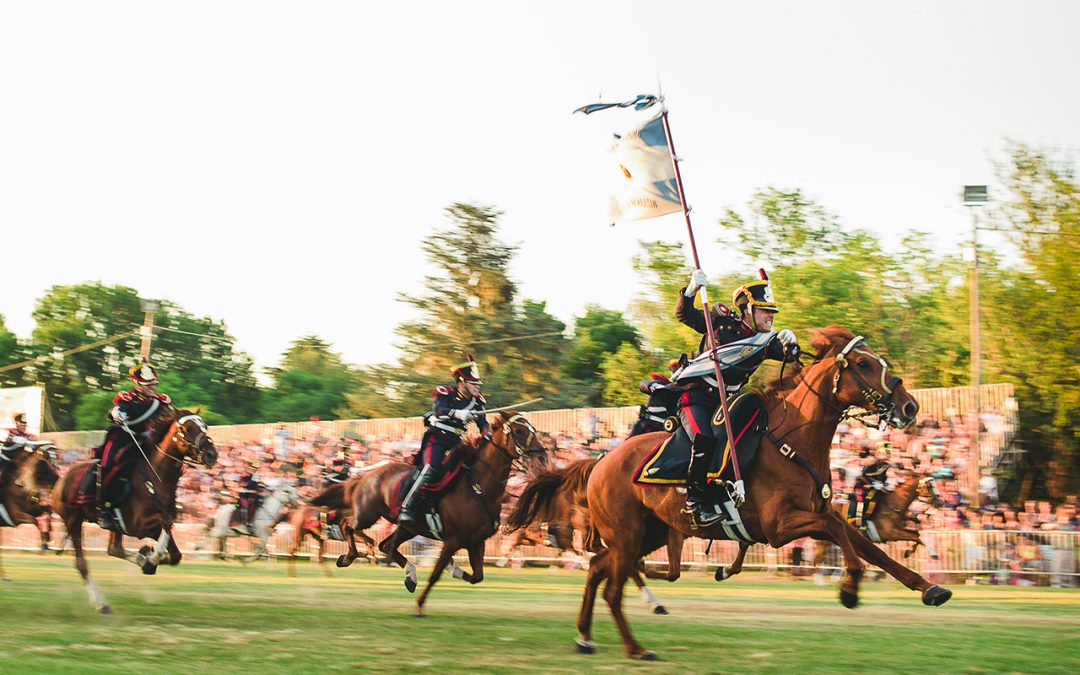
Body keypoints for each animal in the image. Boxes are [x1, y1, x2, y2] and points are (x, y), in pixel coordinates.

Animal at [0, 442, 59, 578]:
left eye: (51, 462)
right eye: (43, 463)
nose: (57, 478)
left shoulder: (35, 506)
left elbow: (46, 513)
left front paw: (47, 538)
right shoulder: (15, 515)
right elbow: (34, 520)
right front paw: (44, 542)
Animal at [51, 408, 216, 613]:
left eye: (205, 426)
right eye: (187, 428)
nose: (212, 455)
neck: (155, 479)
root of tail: (60, 480)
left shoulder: (151, 526)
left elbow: (175, 552)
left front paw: (149, 557)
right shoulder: (138, 526)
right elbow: (167, 524)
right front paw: (150, 557)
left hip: (111, 526)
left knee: (114, 549)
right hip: (72, 521)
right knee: (82, 563)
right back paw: (101, 604)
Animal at [334, 410, 544, 617]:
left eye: (532, 429)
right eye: (518, 431)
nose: (541, 456)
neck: (478, 488)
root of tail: (368, 474)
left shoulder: (476, 542)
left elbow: (477, 576)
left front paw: (452, 568)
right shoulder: (453, 541)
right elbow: (435, 574)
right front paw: (419, 606)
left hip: (409, 528)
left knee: (385, 545)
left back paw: (410, 576)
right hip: (367, 516)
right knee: (347, 524)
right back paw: (349, 556)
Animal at [524, 328, 954, 656]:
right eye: (864, 365)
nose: (909, 407)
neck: (790, 440)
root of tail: (599, 462)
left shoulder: (822, 515)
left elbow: (871, 548)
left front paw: (929, 588)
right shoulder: (781, 527)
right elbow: (845, 542)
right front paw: (849, 589)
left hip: (647, 534)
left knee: (599, 570)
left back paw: (585, 637)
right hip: (629, 535)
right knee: (613, 589)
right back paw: (636, 648)